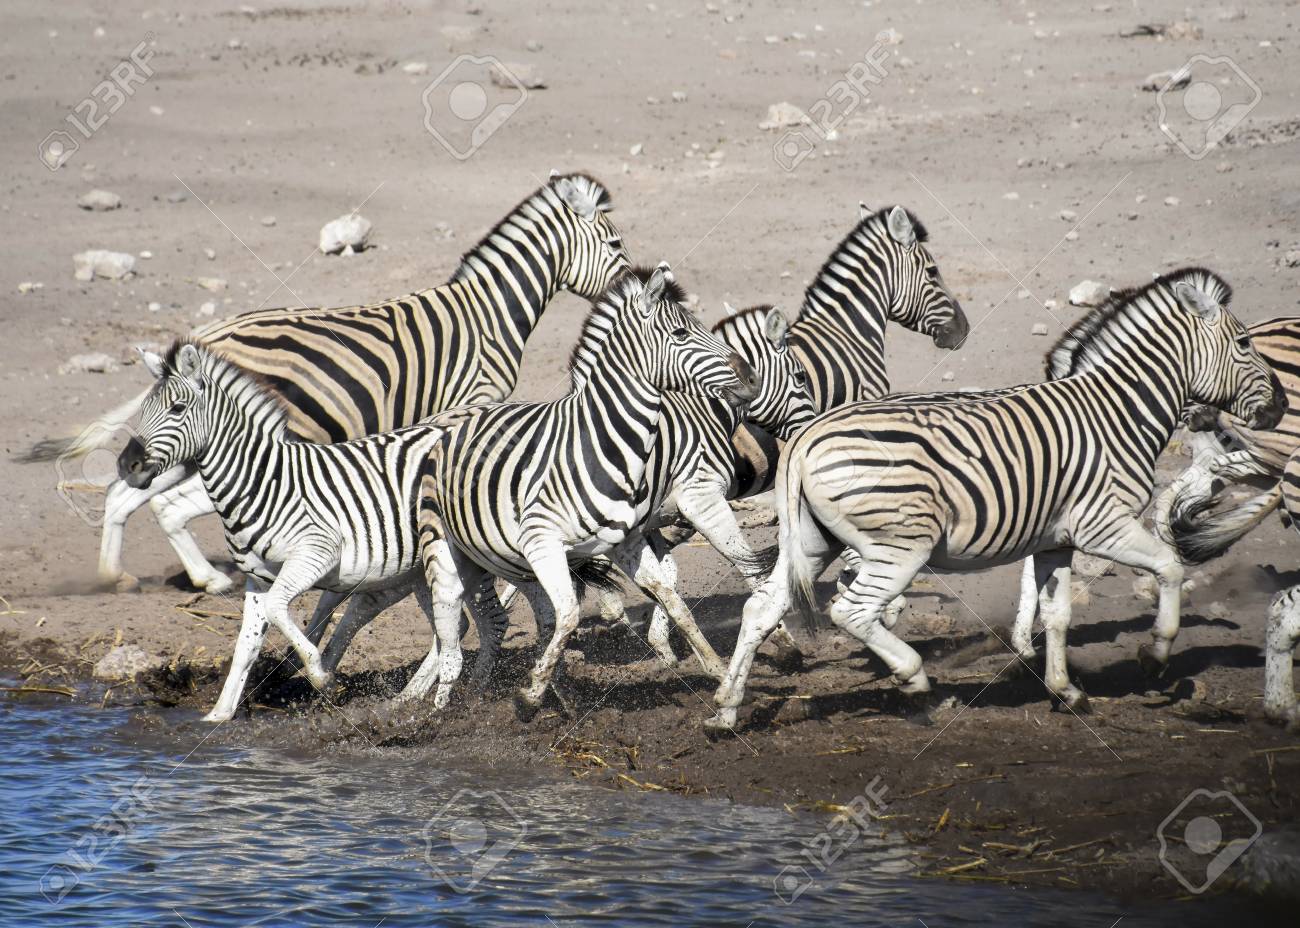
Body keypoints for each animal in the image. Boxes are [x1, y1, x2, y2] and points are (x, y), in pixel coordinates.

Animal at [21, 172, 629, 597]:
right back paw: (197, 579)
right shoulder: (471, 401)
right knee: (149, 497)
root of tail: (209, 332)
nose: (637, 284)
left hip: (189, 448)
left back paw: (119, 576)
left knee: (126, 490)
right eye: (616, 246)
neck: (488, 313)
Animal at [116, 340, 447, 723]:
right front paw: (219, 714)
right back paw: (410, 697)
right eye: (143, 410)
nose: (126, 465)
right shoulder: (257, 579)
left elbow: (278, 608)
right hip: (418, 570)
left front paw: (322, 677)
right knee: (447, 629)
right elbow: (245, 644)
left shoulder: (315, 553)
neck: (265, 482)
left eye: (177, 408)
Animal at [408, 265, 758, 718]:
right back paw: (436, 714)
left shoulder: (623, 543)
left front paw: (717, 671)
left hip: (511, 562)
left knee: (531, 620)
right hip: (447, 553)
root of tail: (456, 422)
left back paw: (558, 698)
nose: (750, 378)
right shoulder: (543, 540)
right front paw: (528, 697)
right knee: (451, 638)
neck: (602, 445)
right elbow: (572, 616)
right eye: (681, 333)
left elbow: (672, 600)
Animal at [706, 268, 1286, 732]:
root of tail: (805, 438)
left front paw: (1066, 691)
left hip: (812, 542)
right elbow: (1169, 566)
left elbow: (1058, 615)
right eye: (1243, 344)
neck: (1119, 411)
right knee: (852, 610)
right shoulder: (1105, 523)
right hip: (900, 546)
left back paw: (726, 711)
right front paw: (1155, 652)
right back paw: (915, 680)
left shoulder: (1056, 540)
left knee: (761, 608)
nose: (1281, 405)